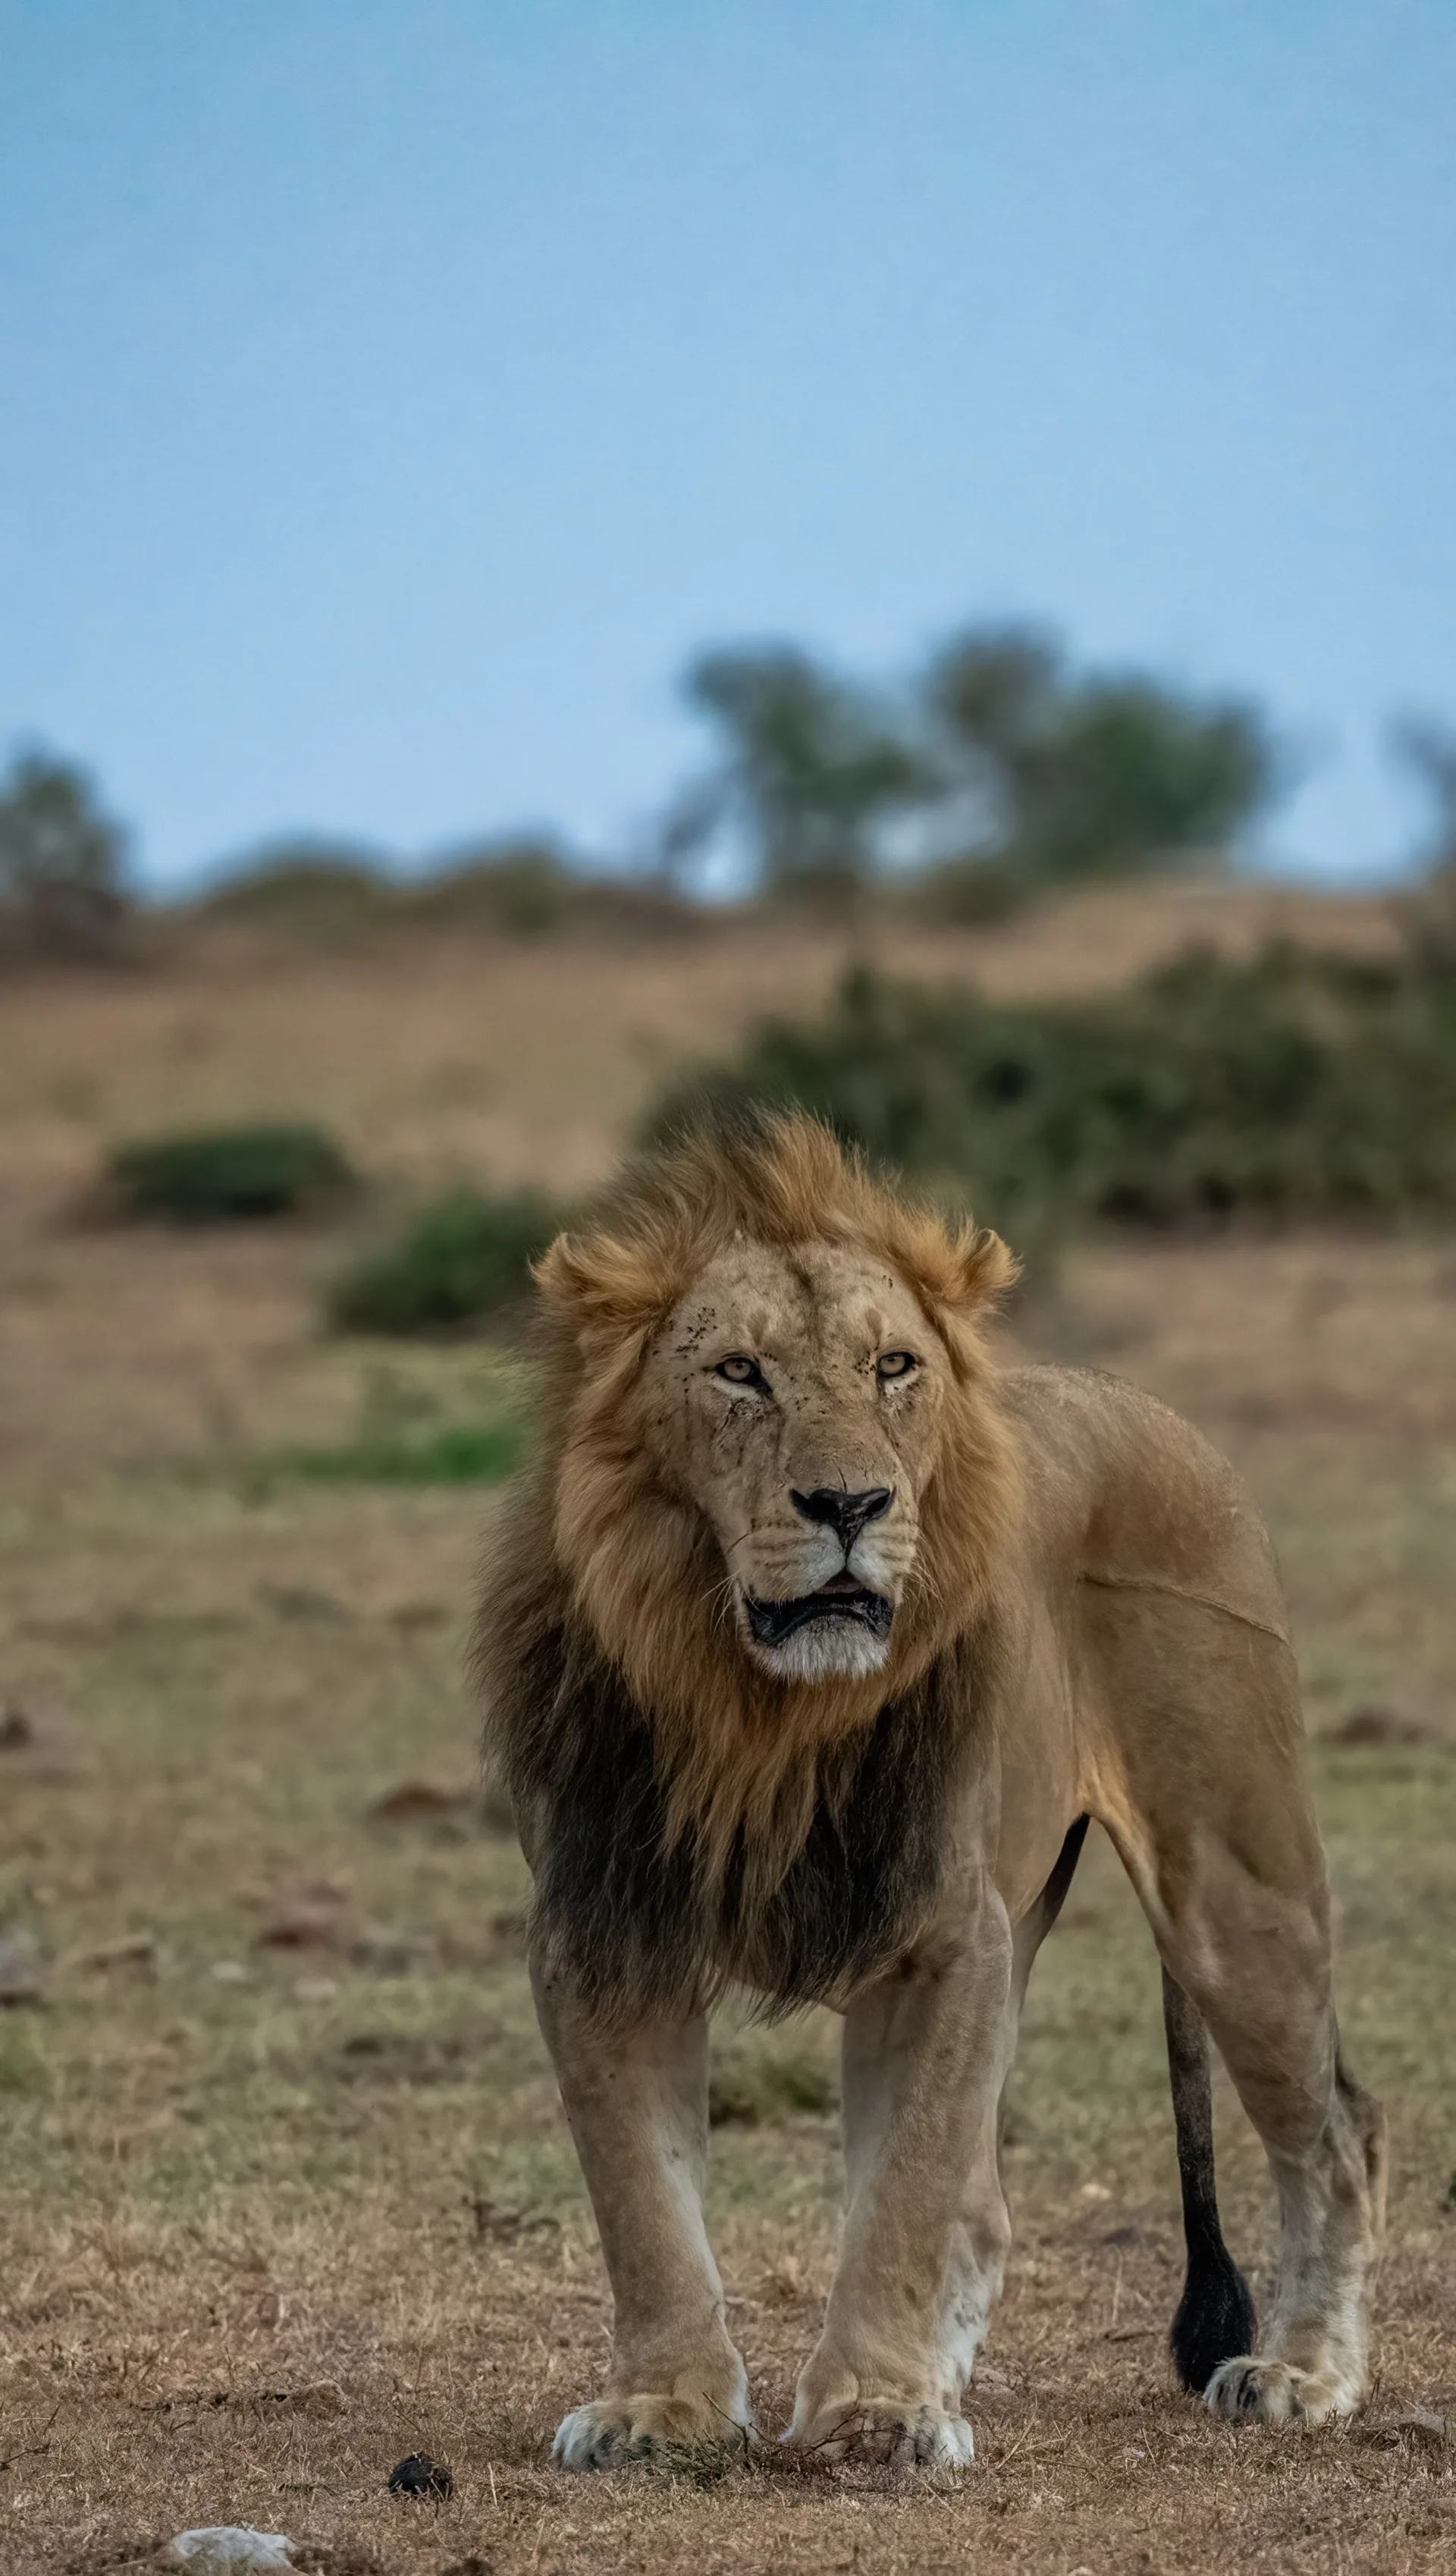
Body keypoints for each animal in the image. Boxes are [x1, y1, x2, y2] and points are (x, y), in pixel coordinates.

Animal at [477, 1110, 1386, 2473]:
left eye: (893, 1367)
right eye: (740, 1373)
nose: (850, 1503)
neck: (760, 1711)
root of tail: (1148, 1407)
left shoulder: (946, 1933)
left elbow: (901, 2188)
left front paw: (877, 2408)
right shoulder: (601, 1924)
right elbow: (643, 2200)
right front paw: (665, 2408)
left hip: (1237, 1886)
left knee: (1336, 2131)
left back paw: (1299, 2375)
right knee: (993, 2200)